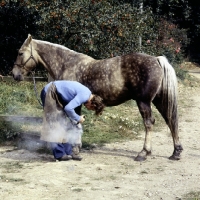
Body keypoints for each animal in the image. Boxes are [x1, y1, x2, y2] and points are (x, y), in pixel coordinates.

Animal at [10, 34, 183, 162]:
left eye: (20, 53)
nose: (14, 75)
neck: (66, 63)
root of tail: (156, 59)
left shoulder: (73, 103)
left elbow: (73, 123)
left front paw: (75, 149)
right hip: (158, 100)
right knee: (170, 120)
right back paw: (176, 152)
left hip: (143, 102)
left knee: (149, 123)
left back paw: (143, 153)